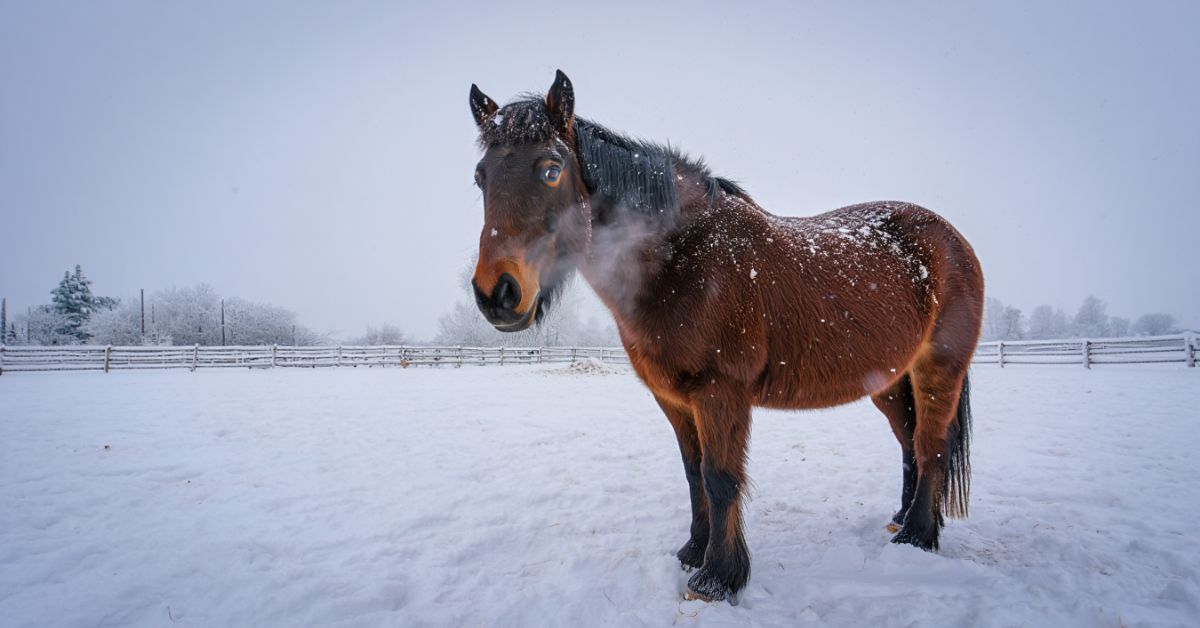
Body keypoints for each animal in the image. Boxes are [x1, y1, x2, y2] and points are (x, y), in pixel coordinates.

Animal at [466, 70, 984, 604]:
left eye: (551, 170)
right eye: (480, 177)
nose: (497, 294)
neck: (681, 260)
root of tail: (951, 239)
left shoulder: (721, 393)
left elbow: (720, 479)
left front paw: (717, 577)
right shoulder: (674, 398)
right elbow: (694, 475)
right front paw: (694, 551)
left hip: (939, 368)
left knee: (932, 444)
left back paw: (916, 537)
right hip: (889, 381)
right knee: (908, 442)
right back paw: (901, 519)